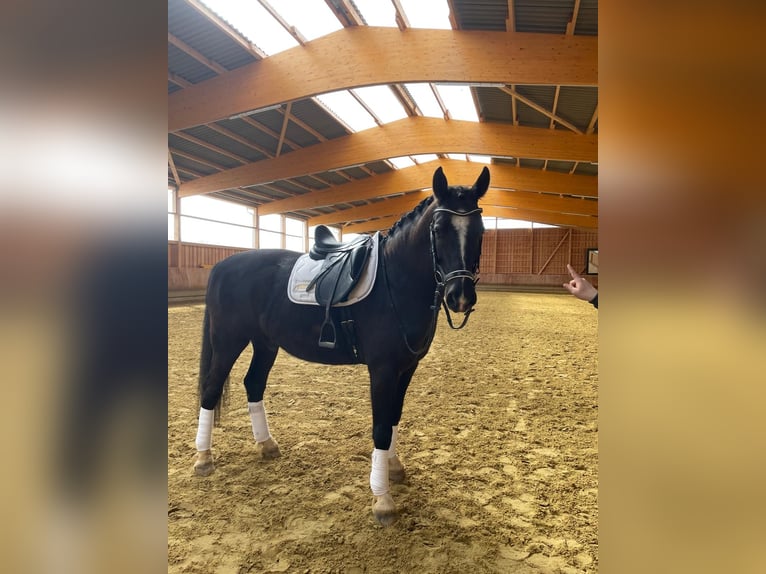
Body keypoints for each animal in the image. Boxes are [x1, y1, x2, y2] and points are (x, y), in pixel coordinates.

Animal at [193, 166, 490, 525]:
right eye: (438, 229)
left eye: (480, 229)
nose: (460, 297)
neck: (396, 281)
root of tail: (223, 266)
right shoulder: (383, 370)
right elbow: (381, 426)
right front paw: (382, 500)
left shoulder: (406, 368)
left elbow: (394, 417)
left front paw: (394, 468)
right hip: (228, 341)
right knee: (210, 390)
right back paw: (204, 458)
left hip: (265, 344)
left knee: (253, 384)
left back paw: (266, 445)